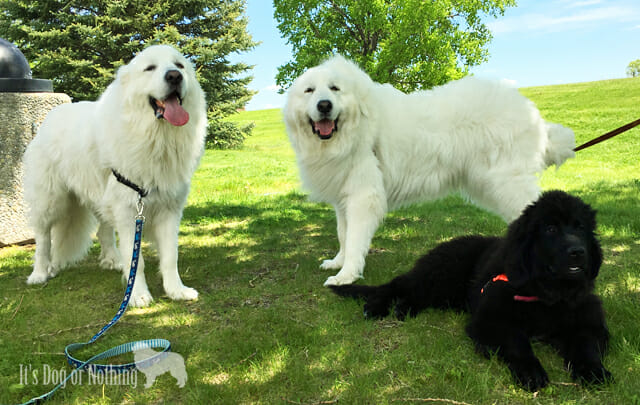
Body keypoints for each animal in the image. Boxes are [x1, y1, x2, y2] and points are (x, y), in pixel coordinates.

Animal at [284, 55, 576, 286]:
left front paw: (346, 276)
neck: (356, 130)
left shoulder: (363, 197)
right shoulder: (343, 198)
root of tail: (531, 113)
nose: (324, 105)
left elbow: (355, 239)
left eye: (335, 89)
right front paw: (338, 262)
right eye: (309, 91)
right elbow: (344, 235)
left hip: (509, 184)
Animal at [332, 191, 612, 390]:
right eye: (550, 229)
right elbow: (517, 342)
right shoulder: (490, 320)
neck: (547, 295)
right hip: (441, 274)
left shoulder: (588, 322)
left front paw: (593, 371)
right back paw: (375, 307)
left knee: (415, 295)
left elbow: (585, 345)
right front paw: (531, 372)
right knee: (399, 284)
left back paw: (403, 310)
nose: (578, 252)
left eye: (580, 228)